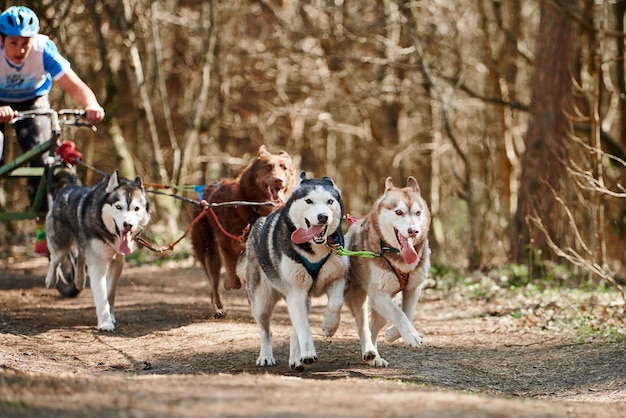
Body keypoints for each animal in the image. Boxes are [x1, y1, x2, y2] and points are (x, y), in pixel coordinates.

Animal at [189, 146, 296, 316]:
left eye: (284, 168)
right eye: (268, 167)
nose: (279, 180)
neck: (254, 207)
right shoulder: (226, 243)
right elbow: (233, 274)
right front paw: (230, 283)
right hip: (209, 250)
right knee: (213, 282)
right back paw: (218, 307)